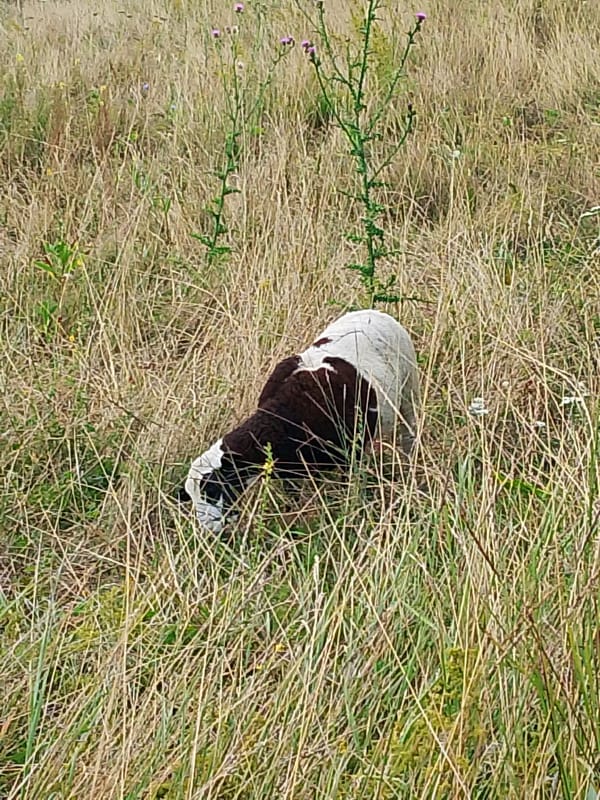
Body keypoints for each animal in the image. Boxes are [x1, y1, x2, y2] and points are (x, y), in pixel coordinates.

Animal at [179, 309, 419, 533]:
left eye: (212, 490)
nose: (209, 530)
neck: (283, 419)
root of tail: (374, 312)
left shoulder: (352, 452)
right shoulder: (292, 471)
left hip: (409, 389)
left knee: (409, 433)